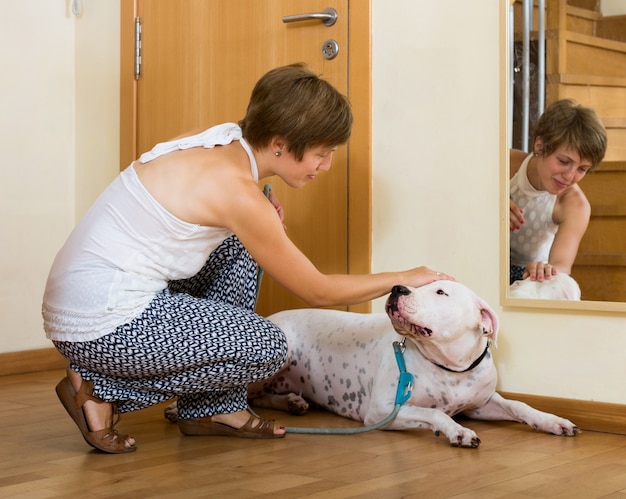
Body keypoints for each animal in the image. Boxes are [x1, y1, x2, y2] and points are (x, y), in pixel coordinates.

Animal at [165, 282, 576, 450]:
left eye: (440, 291)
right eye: (417, 283)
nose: (397, 288)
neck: (448, 366)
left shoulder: (480, 403)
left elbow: (519, 405)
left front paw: (553, 420)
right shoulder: (383, 410)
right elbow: (436, 414)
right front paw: (456, 431)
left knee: (263, 397)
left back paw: (294, 403)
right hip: (275, 355)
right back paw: (176, 410)